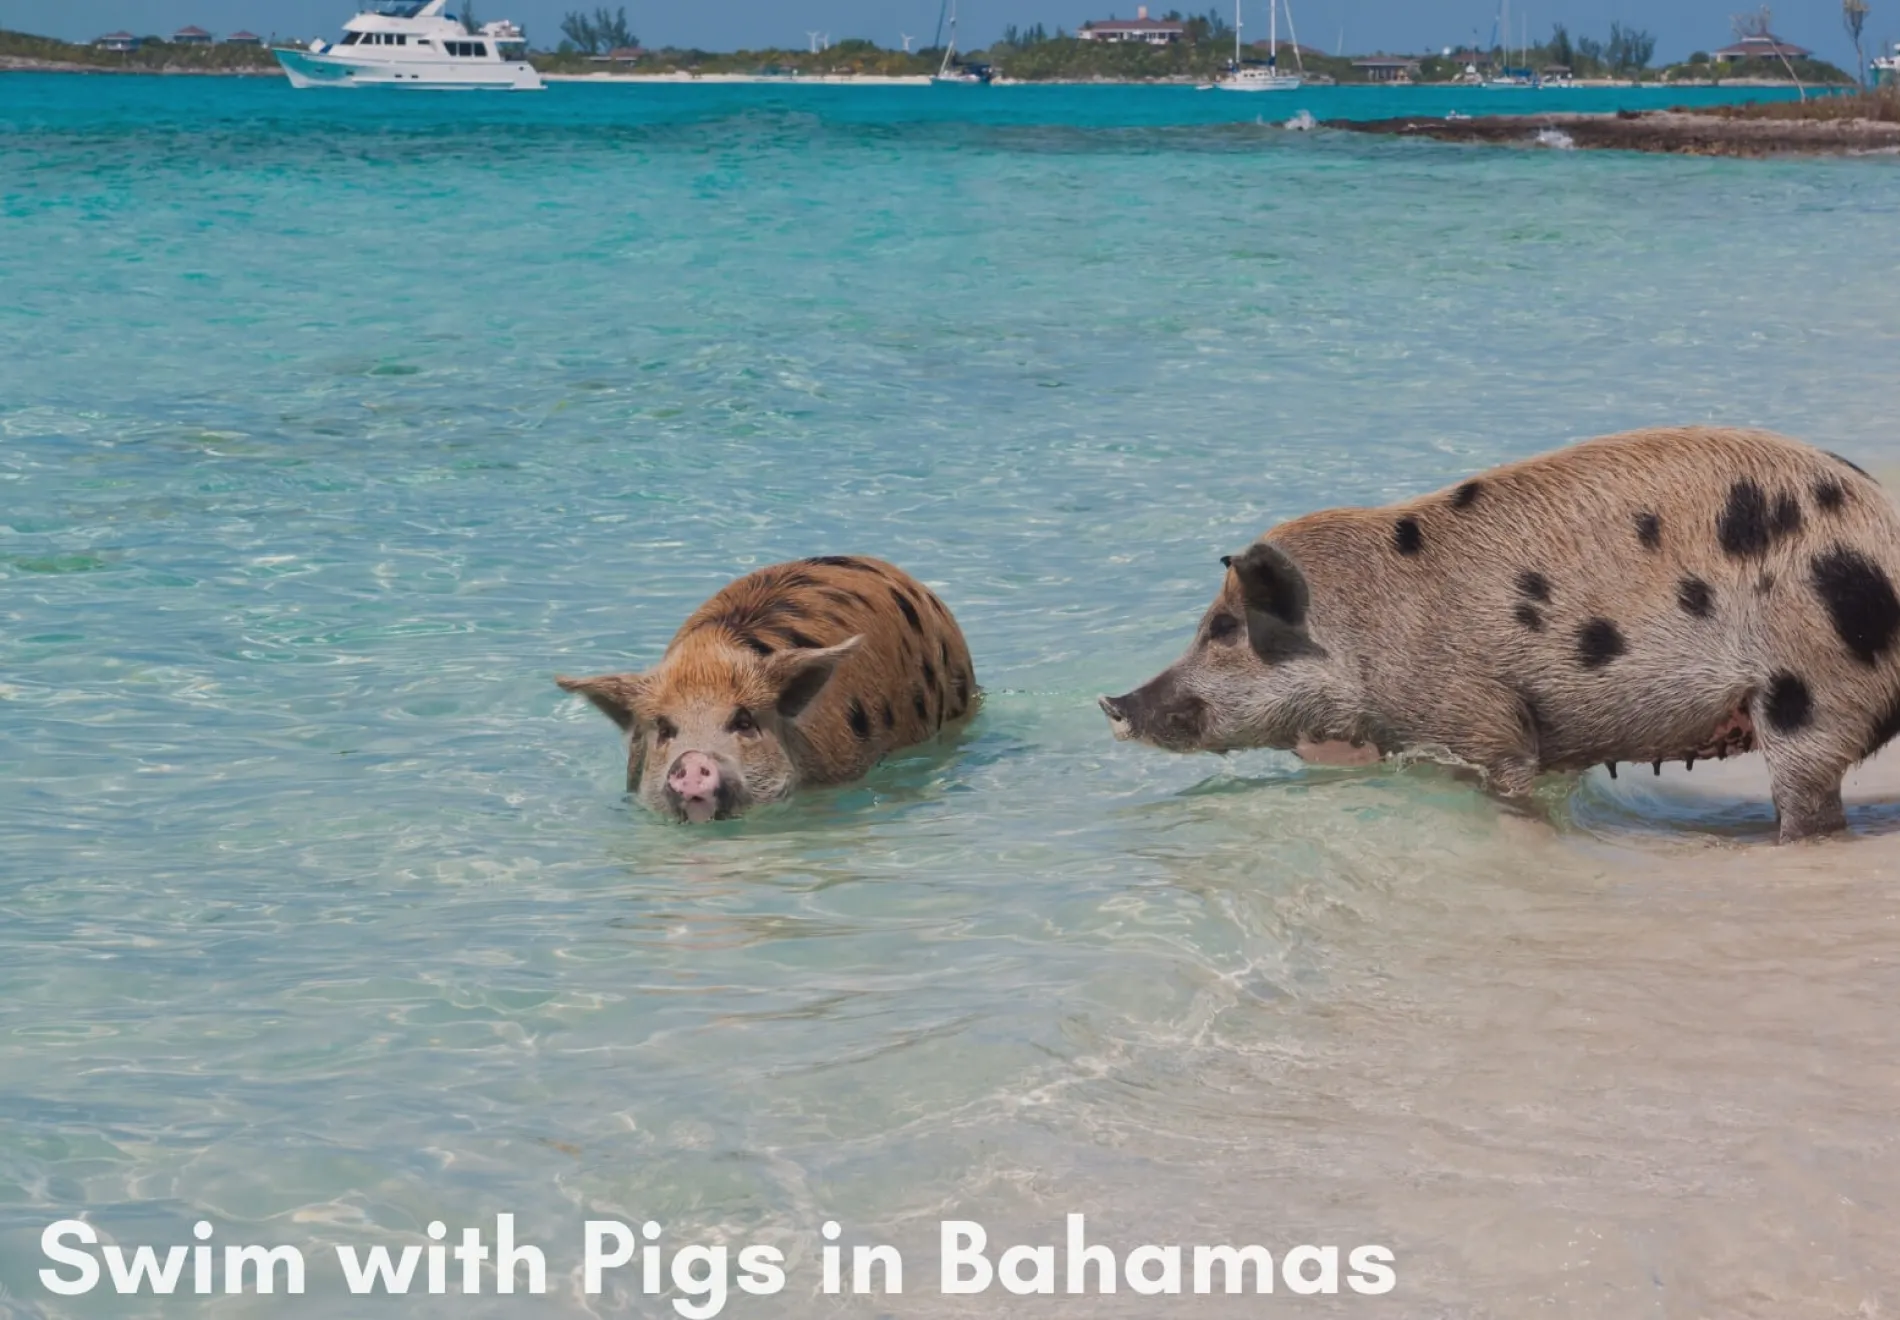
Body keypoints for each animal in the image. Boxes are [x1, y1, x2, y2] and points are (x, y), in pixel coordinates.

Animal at [1102, 433, 1900, 847]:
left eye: (1222, 629)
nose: (1112, 703)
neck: (1368, 631)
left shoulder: (1485, 718)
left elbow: (1511, 782)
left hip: (1813, 683)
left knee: (1809, 795)